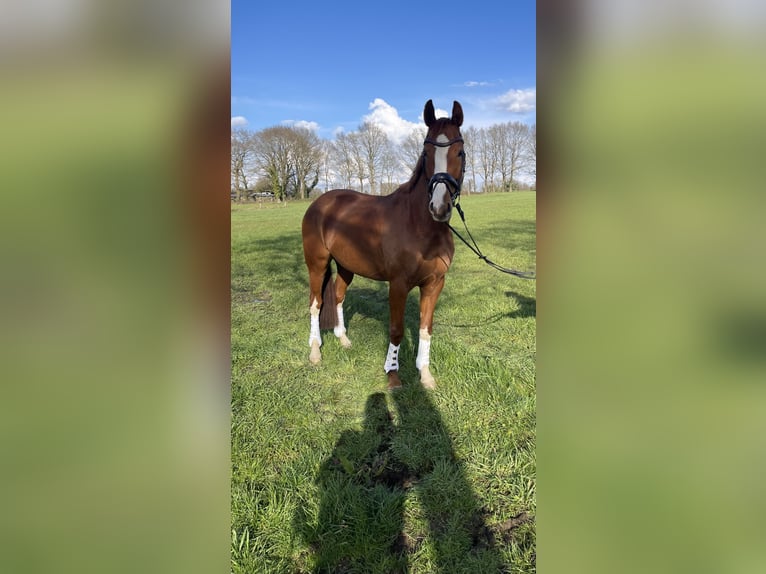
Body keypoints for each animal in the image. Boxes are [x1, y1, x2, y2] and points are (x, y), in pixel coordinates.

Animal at [301, 99, 465, 390]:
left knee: (338, 296)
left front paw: (425, 375)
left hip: (346, 266)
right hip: (317, 264)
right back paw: (315, 351)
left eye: (459, 152)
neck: (420, 226)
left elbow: (426, 328)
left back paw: (343, 339)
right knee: (316, 303)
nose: (439, 207)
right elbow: (396, 330)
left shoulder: (435, 283)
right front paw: (392, 374)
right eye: (426, 152)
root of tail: (320, 202)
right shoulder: (398, 284)